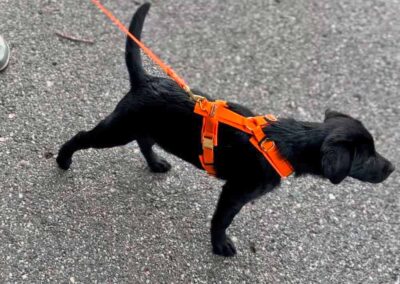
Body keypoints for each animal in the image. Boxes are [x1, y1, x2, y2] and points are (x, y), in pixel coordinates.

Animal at [56, 3, 394, 256]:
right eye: (366, 157)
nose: (392, 168)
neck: (287, 142)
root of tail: (145, 80)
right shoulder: (235, 191)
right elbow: (222, 219)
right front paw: (220, 246)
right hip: (118, 129)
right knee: (84, 137)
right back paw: (63, 159)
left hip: (143, 126)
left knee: (144, 140)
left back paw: (155, 164)